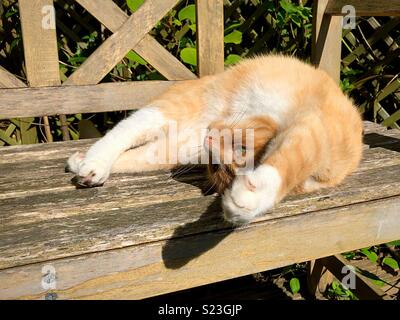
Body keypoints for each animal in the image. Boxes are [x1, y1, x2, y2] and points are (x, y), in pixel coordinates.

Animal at [66, 55, 362, 225]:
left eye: (216, 166)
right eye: (241, 146)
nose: (209, 139)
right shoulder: (313, 127)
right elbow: (289, 162)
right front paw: (250, 197)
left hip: (174, 148)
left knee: (136, 155)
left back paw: (83, 165)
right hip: (174, 108)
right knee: (125, 130)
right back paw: (94, 162)